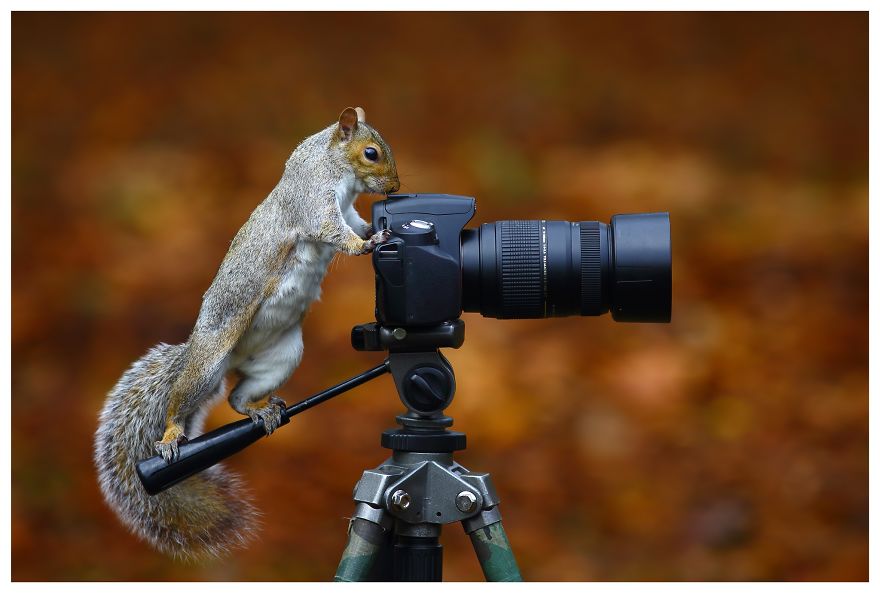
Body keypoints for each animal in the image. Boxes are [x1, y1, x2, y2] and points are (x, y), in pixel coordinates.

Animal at [94, 107, 400, 561]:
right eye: (371, 153)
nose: (396, 188)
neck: (330, 163)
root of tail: (215, 355)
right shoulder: (313, 200)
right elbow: (333, 231)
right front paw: (371, 241)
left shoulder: (347, 209)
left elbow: (354, 223)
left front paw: (373, 232)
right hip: (208, 363)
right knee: (179, 401)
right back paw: (170, 436)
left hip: (282, 356)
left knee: (236, 397)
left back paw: (259, 411)